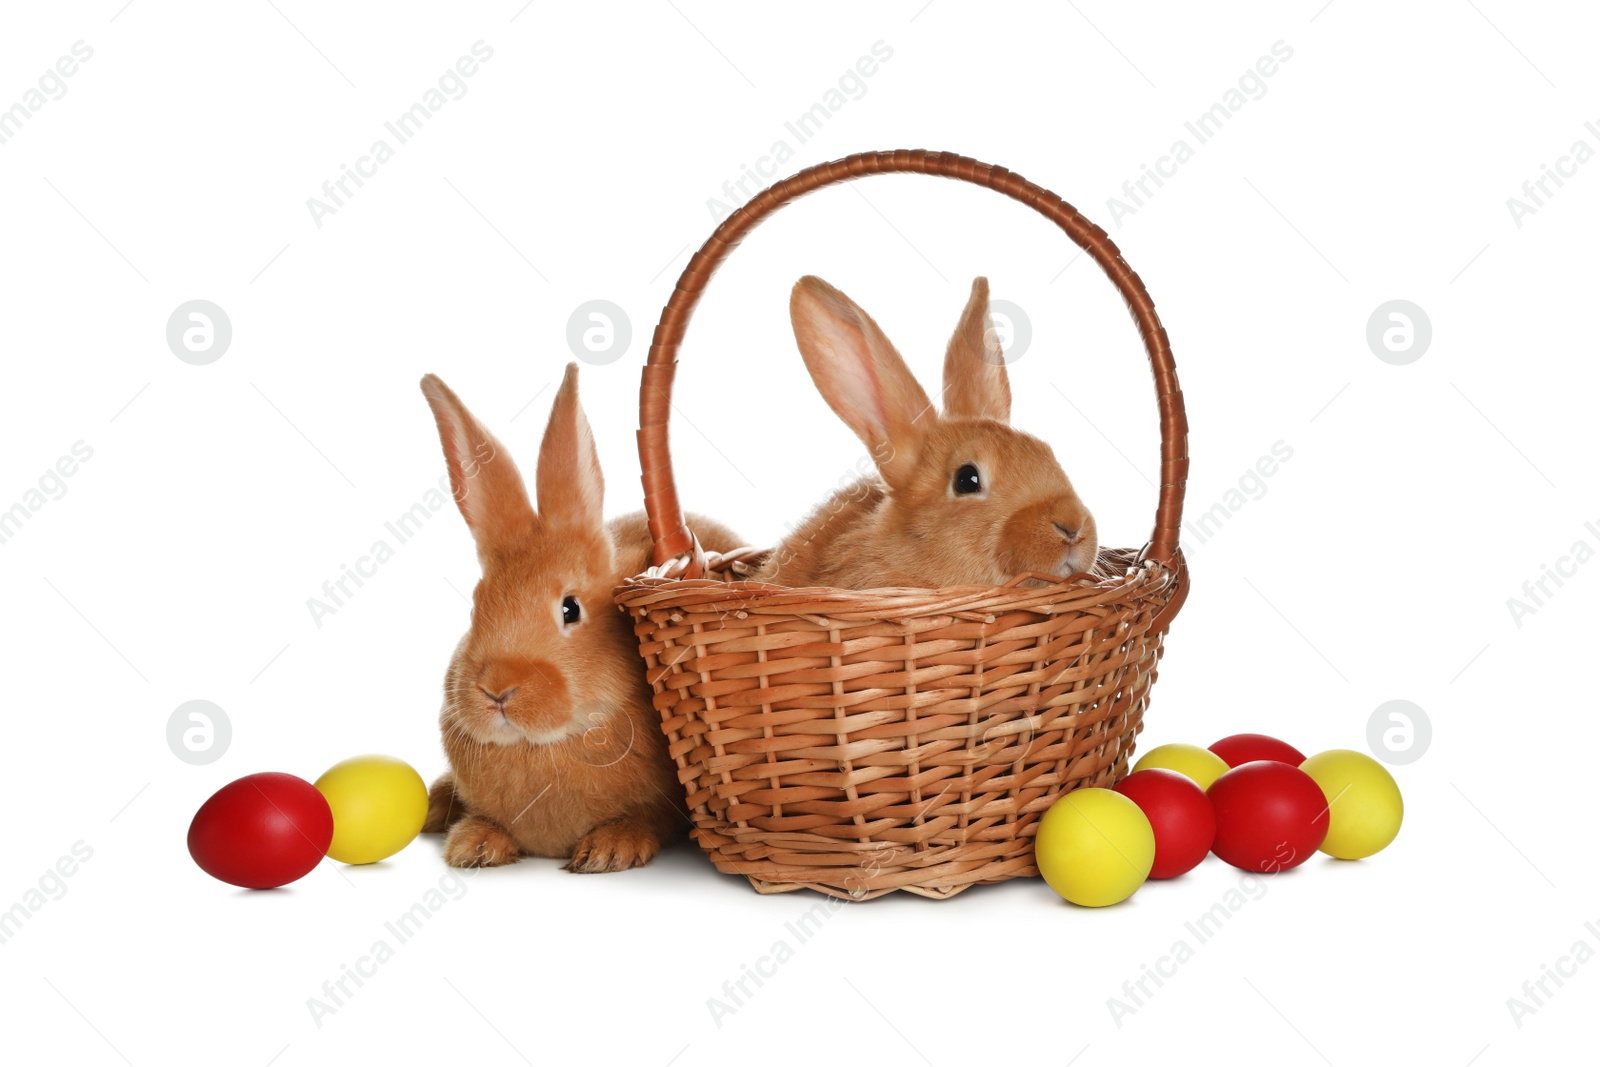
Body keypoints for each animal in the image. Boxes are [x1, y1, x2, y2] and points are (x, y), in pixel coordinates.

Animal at [412, 363, 736, 870]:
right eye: (475, 606)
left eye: (570, 608)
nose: (497, 690)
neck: (549, 744)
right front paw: (475, 844)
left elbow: (649, 819)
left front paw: (608, 849)